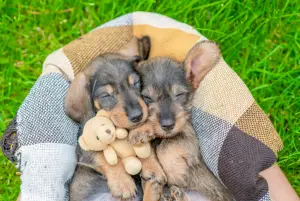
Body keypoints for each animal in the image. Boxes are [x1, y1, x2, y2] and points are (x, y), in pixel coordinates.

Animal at [64, 35, 151, 200]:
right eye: (106, 95)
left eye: (136, 82)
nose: (137, 116)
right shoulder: (84, 149)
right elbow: (104, 157)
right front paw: (123, 183)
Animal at [130, 41, 233, 201]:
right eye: (147, 98)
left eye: (179, 94)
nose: (167, 125)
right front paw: (141, 131)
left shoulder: (190, 141)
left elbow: (165, 147)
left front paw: (174, 172)